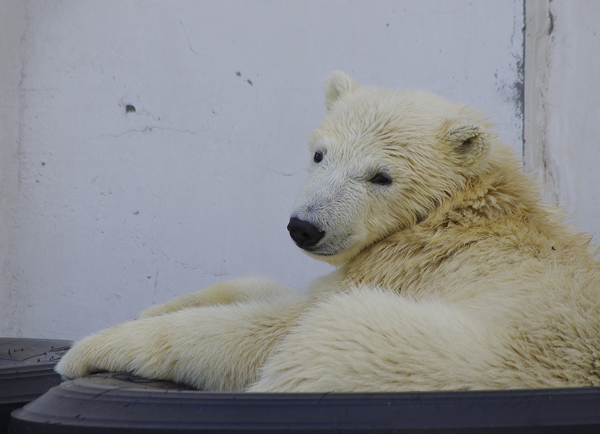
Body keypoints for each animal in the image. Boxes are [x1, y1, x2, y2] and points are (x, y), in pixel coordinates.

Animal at [55, 72, 600, 394]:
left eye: (381, 176)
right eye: (320, 154)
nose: (305, 227)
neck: (458, 211)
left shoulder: (402, 269)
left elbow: (266, 331)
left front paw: (88, 350)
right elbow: (273, 289)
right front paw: (158, 305)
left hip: (438, 355)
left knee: (320, 343)